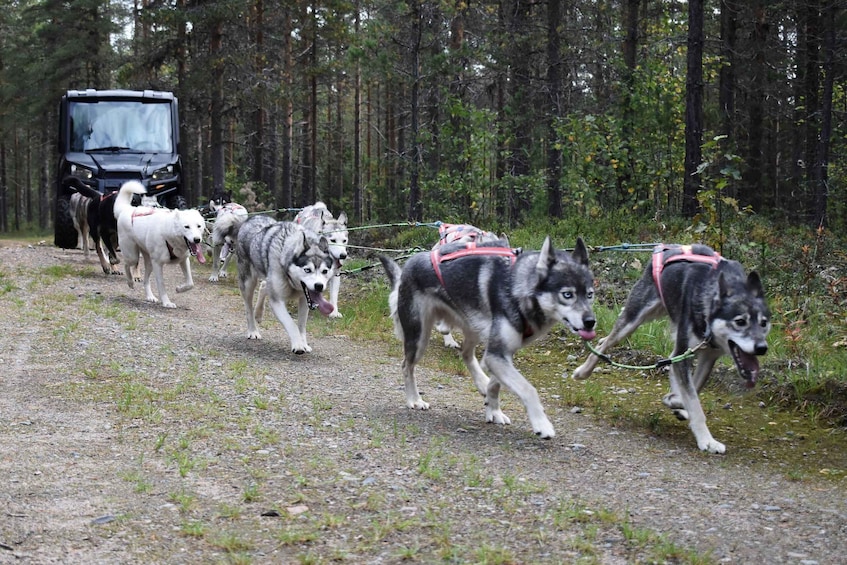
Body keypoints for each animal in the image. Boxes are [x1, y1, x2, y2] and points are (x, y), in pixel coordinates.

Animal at [237, 215, 336, 352]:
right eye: (307, 270)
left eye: (325, 271)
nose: (319, 286)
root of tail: (254, 217)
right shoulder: (277, 301)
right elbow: (291, 323)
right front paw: (298, 345)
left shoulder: (304, 300)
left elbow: (301, 325)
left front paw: (303, 343)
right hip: (248, 283)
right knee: (248, 308)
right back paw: (253, 330)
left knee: (264, 286)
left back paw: (259, 313)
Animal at [380, 236, 600, 438]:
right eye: (567, 294)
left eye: (589, 294)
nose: (590, 321)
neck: (518, 290)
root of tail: (409, 264)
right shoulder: (497, 355)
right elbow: (529, 389)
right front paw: (541, 423)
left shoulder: (500, 354)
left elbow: (496, 385)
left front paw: (493, 410)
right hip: (419, 338)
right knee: (407, 366)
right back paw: (414, 399)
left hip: (473, 331)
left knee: (466, 354)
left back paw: (480, 382)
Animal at [572, 243, 772, 454]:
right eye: (740, 321)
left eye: (764, 323)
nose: (761, 348)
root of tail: (666, 247)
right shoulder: (684, 352)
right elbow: (693, 401)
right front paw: (706, 440)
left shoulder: (707, 356)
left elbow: (693, 389)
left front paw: (676, 401)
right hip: (633, 320)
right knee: (604, 342)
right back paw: (583, 371)